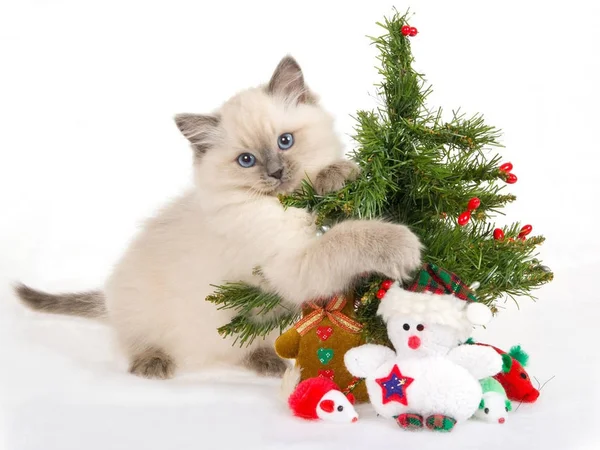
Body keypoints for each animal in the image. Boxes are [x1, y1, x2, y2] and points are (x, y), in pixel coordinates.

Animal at [15, 56, 422, 380]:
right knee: (135, 340)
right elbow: (347, 236)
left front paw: (339, 174)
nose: (276, 173)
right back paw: (153, 363)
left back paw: (267, 361)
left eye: (285, 141)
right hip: (143, 309)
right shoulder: (291, 265)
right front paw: (402, 243)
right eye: (247, 160)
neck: (287, 204)